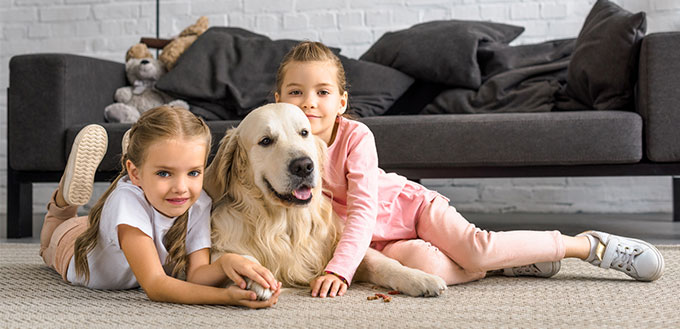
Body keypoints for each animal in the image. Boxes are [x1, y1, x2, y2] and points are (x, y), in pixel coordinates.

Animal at [205, 104, 448, 298]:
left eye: (304, 133)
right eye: (266, 141)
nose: (303, 166)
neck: (286, 223)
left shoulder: (339, 243)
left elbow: (382, 262)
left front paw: (421, 278)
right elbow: (236, 257)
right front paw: (256, 277)